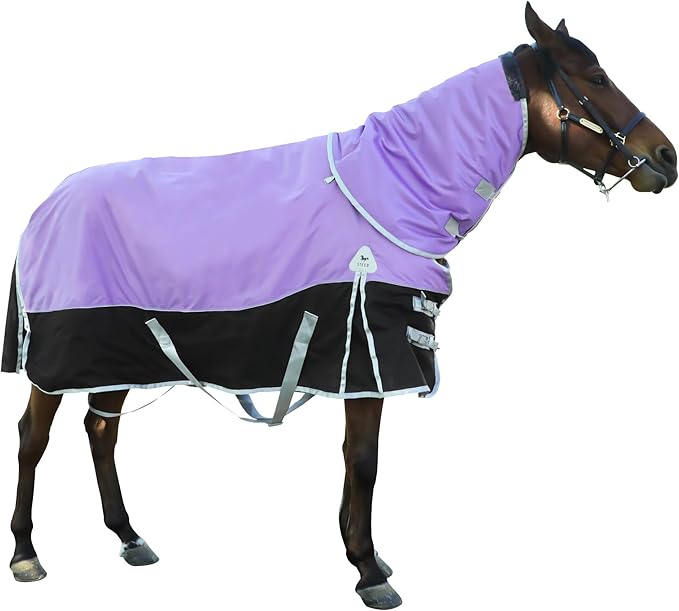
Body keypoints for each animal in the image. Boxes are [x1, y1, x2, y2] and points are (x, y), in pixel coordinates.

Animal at [3, 3, 676, 609]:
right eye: (595, 79)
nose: (665, 158)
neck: (394, 189)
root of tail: (45, 204)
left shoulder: (365, 359)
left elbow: (357, 464)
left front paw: (365, 555)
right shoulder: (369, 356)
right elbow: (365, 462)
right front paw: (368, 571)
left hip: (118, 349)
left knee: (101, 430)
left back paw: (129, 537)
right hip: (63, 354)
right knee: (35, 436)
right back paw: (27, 554)